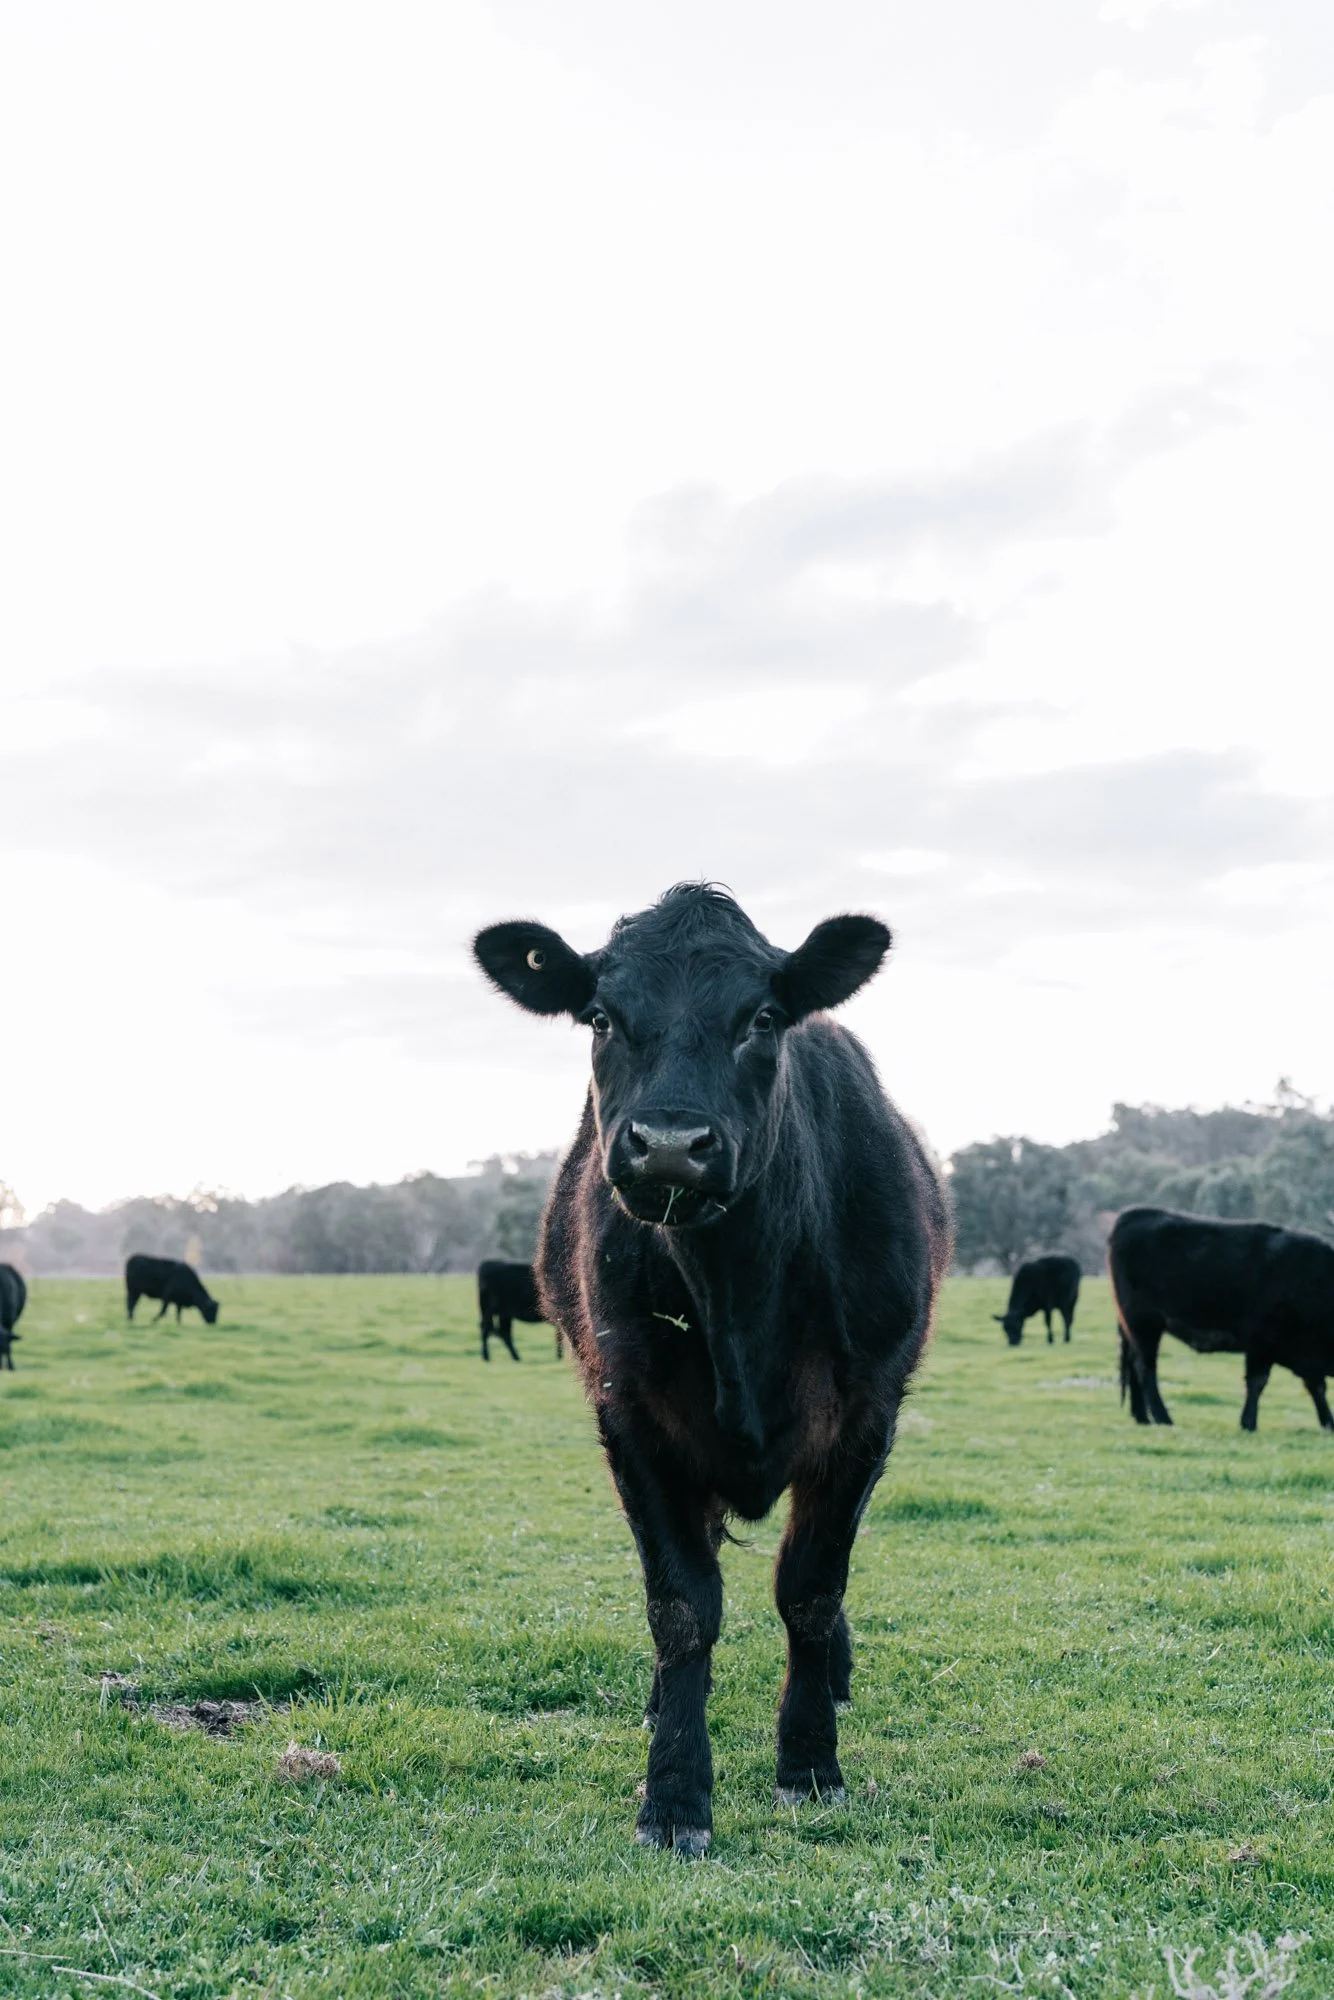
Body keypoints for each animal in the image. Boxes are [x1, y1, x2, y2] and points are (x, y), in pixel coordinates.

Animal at [474, 883, 950, 1857]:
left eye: (762, 1018)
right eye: (601, 1016)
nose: (666, 1144)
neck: (742, 1297)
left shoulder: (867, 1415)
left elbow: (810, 1590)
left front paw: (809, 1763)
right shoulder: (631, 1418)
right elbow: (683, 1606)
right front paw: (675, 1794)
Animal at [1109, 1205, 1334, 1432]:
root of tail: (1133, 1214)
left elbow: (1316, 1386)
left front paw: (1328, 1423)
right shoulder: (1262, 1344)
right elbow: (1257, 1382)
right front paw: (1248, 1423)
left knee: (1134, 1366)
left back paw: (1142, 1417)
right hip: (1144, 1325)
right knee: (1146, 1369)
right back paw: (1163, 1418)